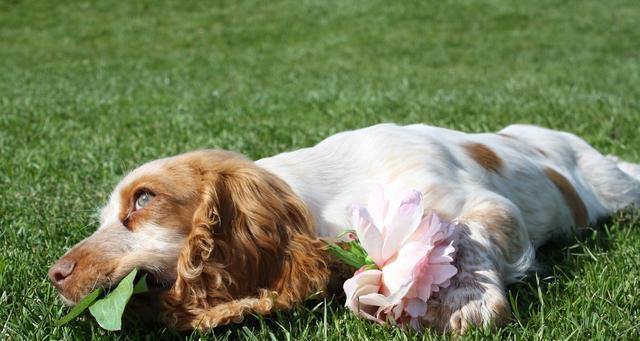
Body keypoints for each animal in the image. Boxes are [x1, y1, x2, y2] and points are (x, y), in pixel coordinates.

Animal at [48, 123, 640, 332]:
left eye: (144, 199)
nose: (55, 274)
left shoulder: (479, 201)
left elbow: (463, 235)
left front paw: (459, 302)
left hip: (614, 188)